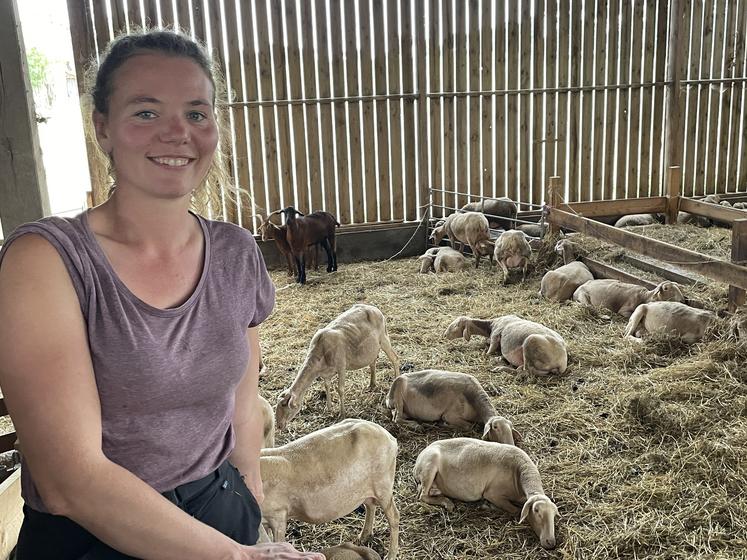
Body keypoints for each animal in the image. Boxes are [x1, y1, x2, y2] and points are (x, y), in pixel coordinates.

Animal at [276, 304, 404, 426]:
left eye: (285, 406)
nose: (279, 426)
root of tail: (375, 308)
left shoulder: (341, 366)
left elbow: (340, 389)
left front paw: (342, 414)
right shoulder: (326, 373)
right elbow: (327, 386)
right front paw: (328, 408)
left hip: (384, 338)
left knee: (395, 358)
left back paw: (395, 379)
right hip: (371, 348)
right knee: (373, 361)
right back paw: (372, 384)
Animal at [386, 370, 520, 444]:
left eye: (511, 427)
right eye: (495, 427)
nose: (510, 445)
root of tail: (388, 396)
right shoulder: (450, 415)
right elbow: (469, 426)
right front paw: (443, 424)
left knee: (396, 414)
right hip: (398, 392)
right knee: (396, 419)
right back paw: (417, 426)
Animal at [414, 436, 560, 548]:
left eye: (554, 514)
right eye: (536, 511)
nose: (550, 542)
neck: (518, 473)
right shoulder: (493, 494)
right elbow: (516, 511)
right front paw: (487, 506)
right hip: (429, 466)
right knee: (422, 496)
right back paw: (447, 503)